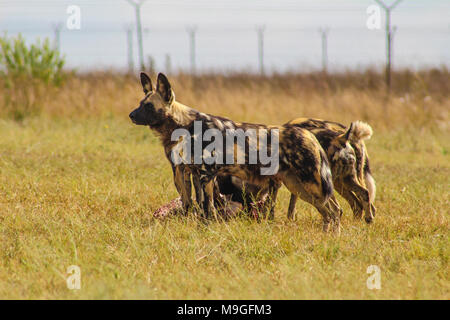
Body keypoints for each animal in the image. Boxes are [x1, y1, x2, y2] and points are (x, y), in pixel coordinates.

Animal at [129, 72, 342, 232]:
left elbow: (207, 208)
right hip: (299, 187)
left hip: (312, 185)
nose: (131, 115)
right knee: (329, 213)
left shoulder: (206, 175)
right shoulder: (193, 175)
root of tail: (309, 134)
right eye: (140, 103)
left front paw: (206, 229)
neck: (183, 125)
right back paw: (327, 237)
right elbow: (195, 206)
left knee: (335, 211)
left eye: (148, 106)